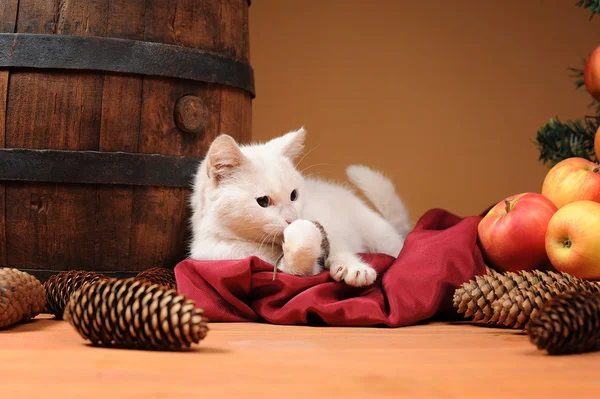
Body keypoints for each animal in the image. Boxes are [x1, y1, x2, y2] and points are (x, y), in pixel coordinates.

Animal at [190, 128, 410, 288]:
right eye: (263, 201)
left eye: (293, 195)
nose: (292, 218)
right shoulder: (223, 259)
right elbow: (298, 265)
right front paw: (302, 236)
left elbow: (338, 247)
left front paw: (351, 266)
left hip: (379, 235)